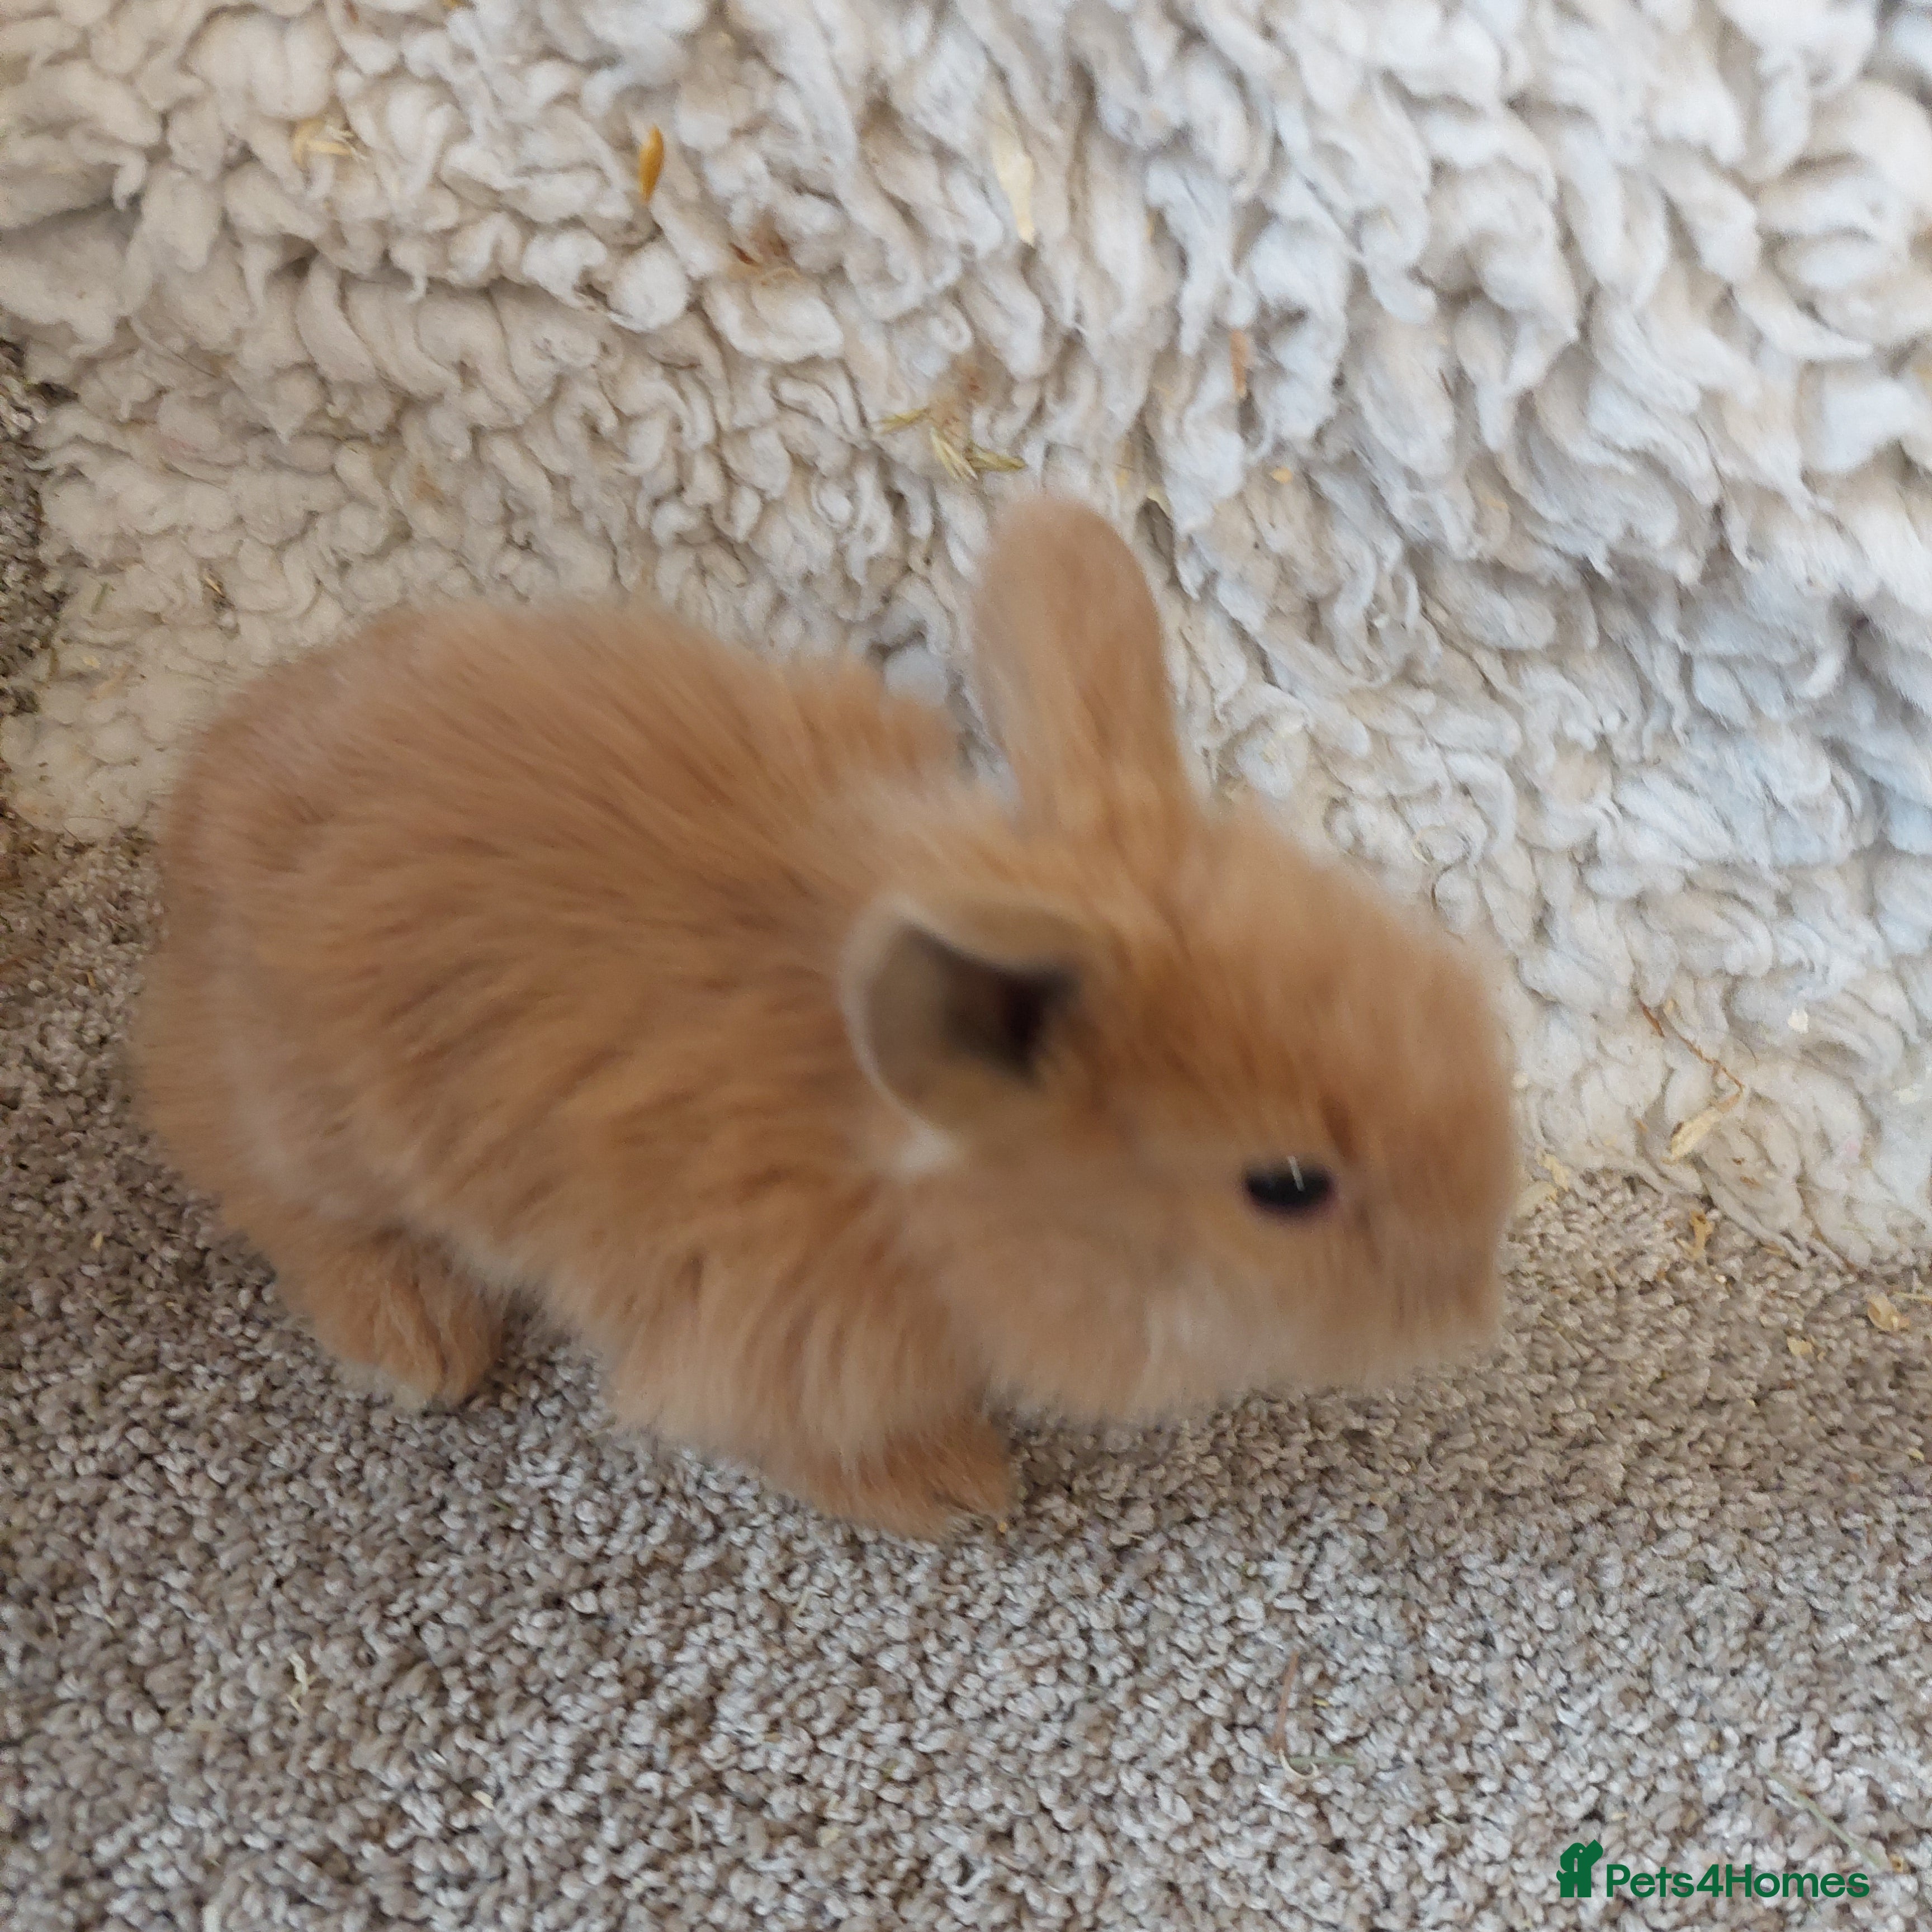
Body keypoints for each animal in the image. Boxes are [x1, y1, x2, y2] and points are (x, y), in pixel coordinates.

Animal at [135, 496, 1516, 1539]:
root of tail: (198, 800)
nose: (1468, 1303)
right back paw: (417, 1343)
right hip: (310, 1113)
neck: (904, 1185)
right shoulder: (762, 1345)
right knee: (265, 1187)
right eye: (1286, 1185)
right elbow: (798, 1443)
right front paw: (953, 1489)